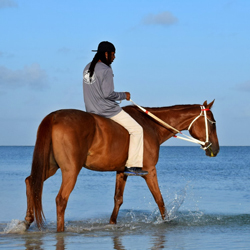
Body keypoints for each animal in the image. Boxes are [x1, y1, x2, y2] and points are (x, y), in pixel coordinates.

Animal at [23, 98, 219, 231]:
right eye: (212, 123)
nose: (216, 149)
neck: (151, 126)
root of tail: (54, 116)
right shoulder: (150, 170)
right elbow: (159, 199)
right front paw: (167, 222)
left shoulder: (121, 171)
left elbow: (118, 199)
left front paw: (112, 224)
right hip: (71, 170)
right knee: (61, 199)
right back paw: (60, 230)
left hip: (50, 166)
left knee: (31, 182)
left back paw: (27, 221)